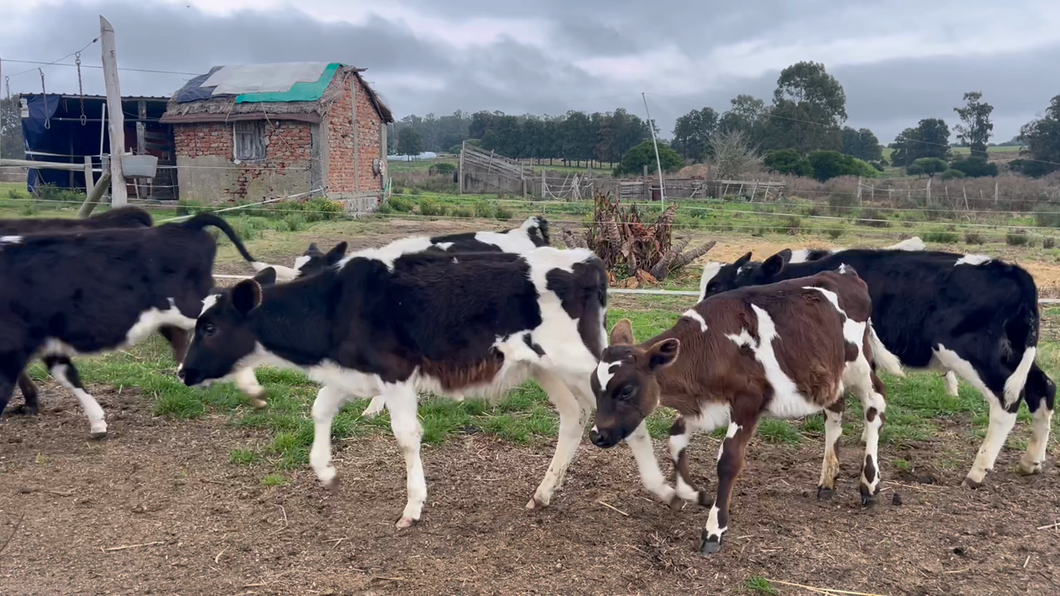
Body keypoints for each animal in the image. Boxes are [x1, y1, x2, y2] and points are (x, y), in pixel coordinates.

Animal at [181, 237, 610, 523]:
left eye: (210, 328)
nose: (183, 372)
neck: (337, 304)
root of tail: (586, 260)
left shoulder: (396, 372)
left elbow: (406, 436)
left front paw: (413, 506)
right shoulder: (354, 371)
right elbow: (320, 408)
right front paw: (326, 471)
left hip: (580, 362)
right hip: (544, 367)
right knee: (573, 416)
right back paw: (544, 492)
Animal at [589, 268, 886, 551]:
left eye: (626, 390)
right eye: (594, 386)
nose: (596, 434)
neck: (710, 347)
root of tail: (846, 274)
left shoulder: (748, 402)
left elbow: (729, 460)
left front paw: (714, 528)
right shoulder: (704, 405)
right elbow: (674, 441)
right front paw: (694, 494)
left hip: (858, 364)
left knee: (875, 403)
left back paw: (869, 484)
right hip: (828, 375)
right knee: (835, 409)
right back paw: (828, 480)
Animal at [699, 248, 1055, 485]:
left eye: (718, 285)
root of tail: (1015, 272)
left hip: (976, 354)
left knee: (1006, 404)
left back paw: (977, 471)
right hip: (1016, 356)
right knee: (1043, 388)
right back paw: (1031, 461)